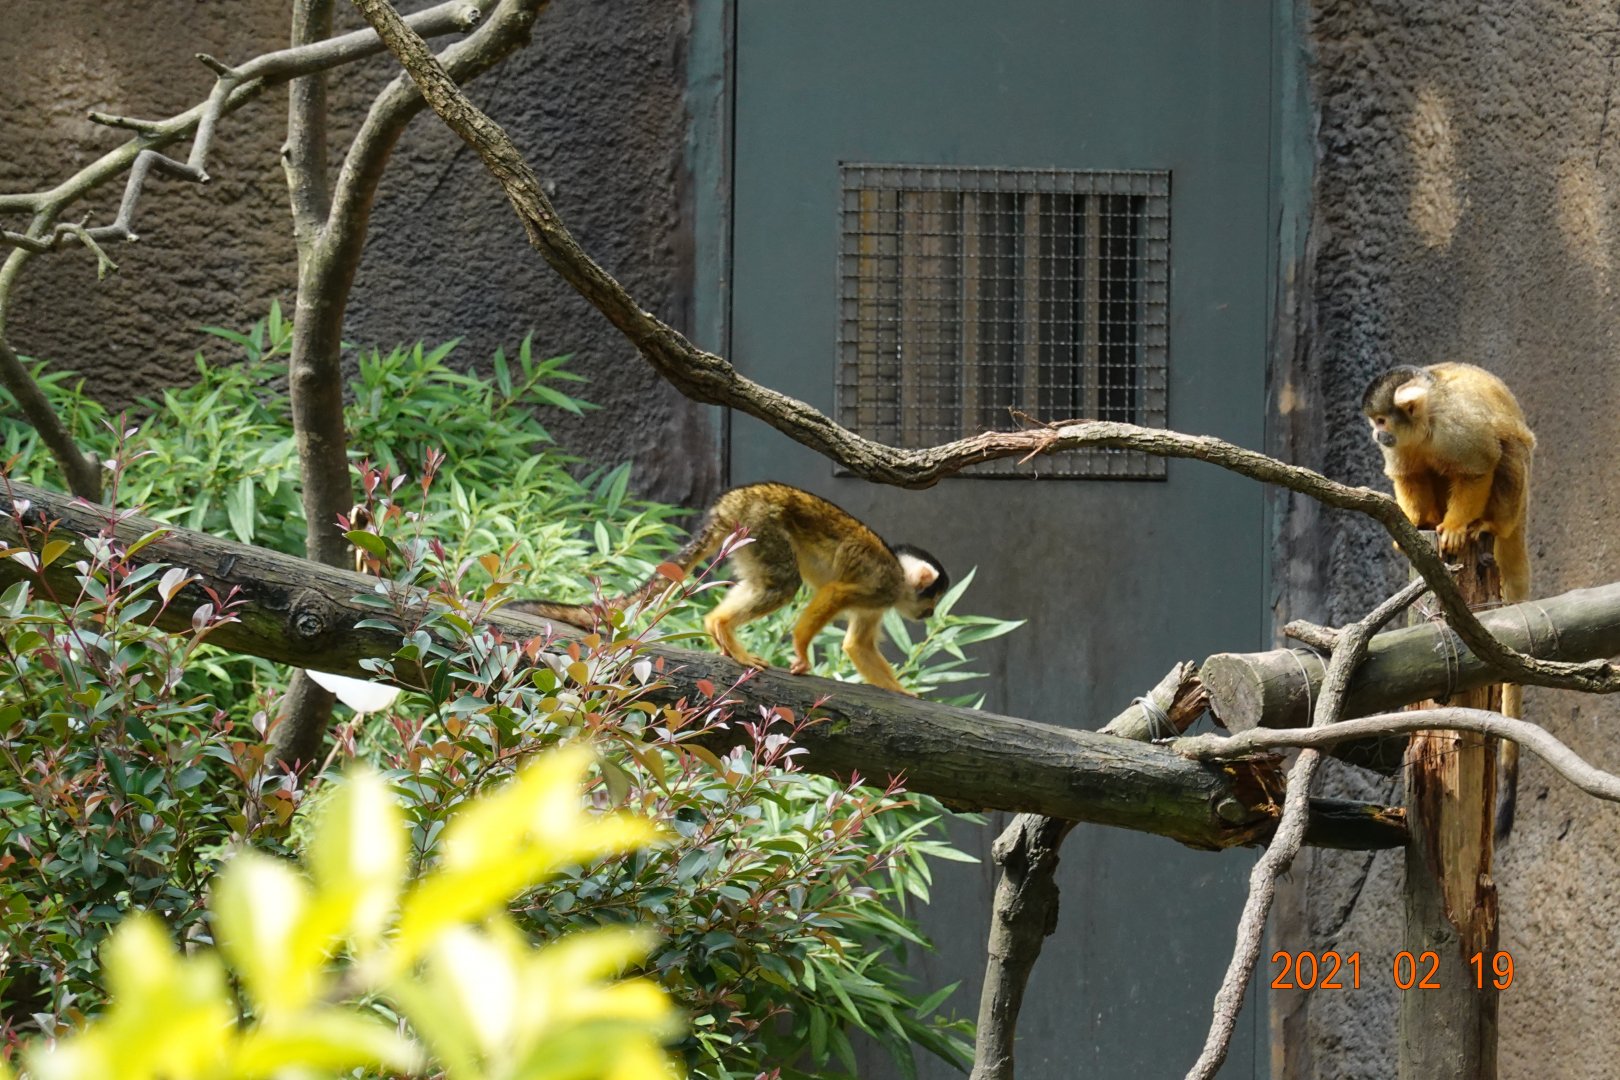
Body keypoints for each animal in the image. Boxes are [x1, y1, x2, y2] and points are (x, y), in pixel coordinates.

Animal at [508, 482, 950, 695]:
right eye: (934, 598)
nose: (930, 613)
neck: (899, 581)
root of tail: (733, 500)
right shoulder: (879, 586)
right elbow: (833, 595)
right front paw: (801, 653)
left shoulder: (878, 603)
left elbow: (857, 645)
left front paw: (903, 693)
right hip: (761, 525)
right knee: (784, 583)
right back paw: (723, 627)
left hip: (745, 536)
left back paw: (717, 628)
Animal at [1361, 361, 1535, 840]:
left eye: (1381, 420)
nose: (1376, 435)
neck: (1423, 426)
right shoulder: (1405, 450)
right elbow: (1407, 475)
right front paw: (1418, 524)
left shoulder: (1458, 430)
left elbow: (1479, 467)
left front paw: (1456, 528)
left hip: (1519, 497)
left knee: (1507, 449)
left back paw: (1484, 525)